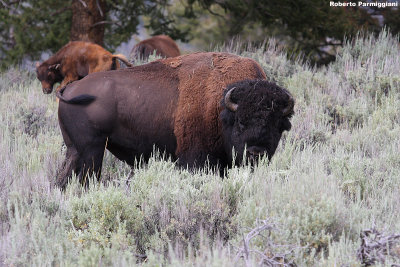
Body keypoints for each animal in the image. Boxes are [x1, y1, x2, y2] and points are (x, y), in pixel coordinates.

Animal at [55, 52, 294, 189]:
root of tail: (70, 87)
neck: (220, 107)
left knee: (64, 177)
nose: (257, 153)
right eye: (241, 122)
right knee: (87, 178)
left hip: (74, 149)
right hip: (92, 149)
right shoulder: (195, 160)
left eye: (277, 126)